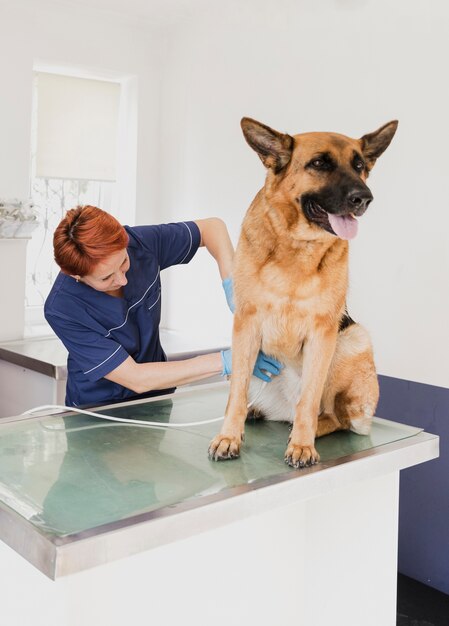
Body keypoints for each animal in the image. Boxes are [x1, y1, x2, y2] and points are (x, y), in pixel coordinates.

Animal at [208, 117, 398, 468]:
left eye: (359, 166)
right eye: (319, 164)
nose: (364, 199)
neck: (296, 245)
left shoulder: (323, 331)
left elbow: (308, 401)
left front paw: (302, 445)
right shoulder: (245, 324)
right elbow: (236, 394)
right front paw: (229, 437)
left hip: (351, 340)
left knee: (331, 415)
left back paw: (304, 430)